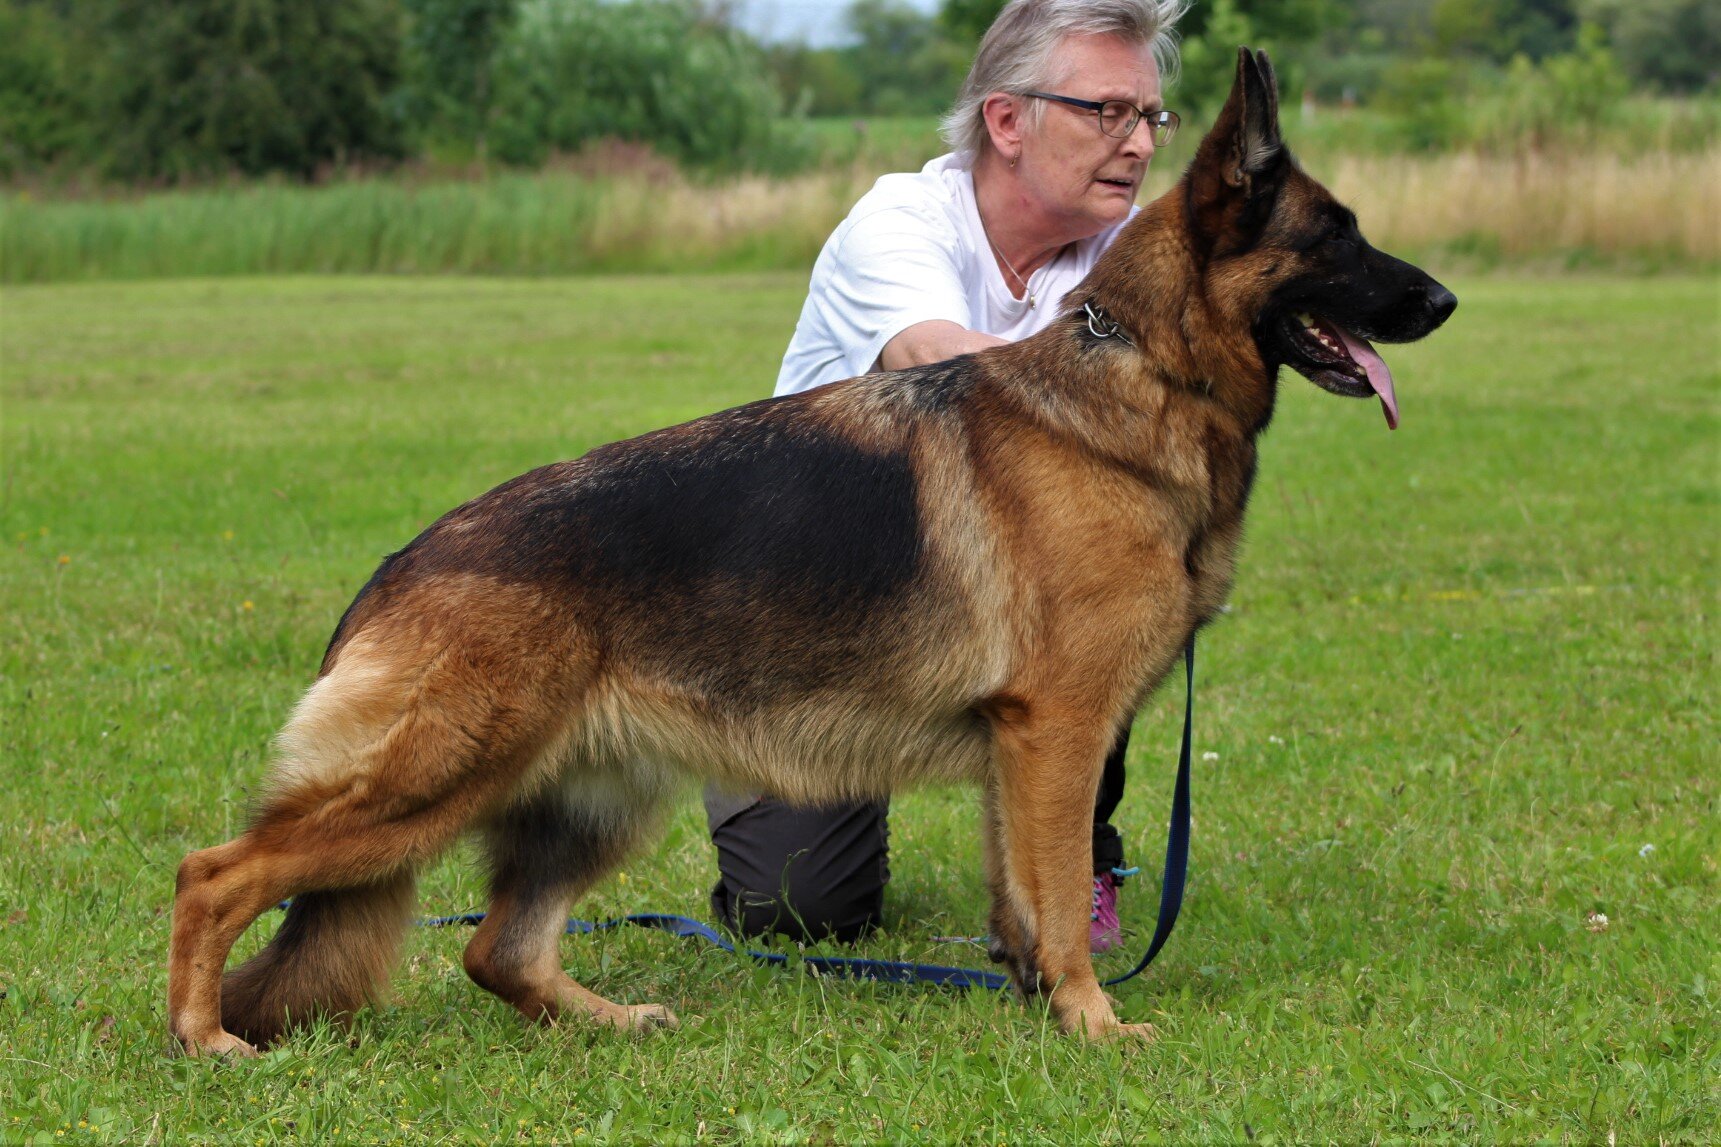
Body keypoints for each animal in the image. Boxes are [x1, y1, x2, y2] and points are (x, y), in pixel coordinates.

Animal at [164, 53, 1452, 1054]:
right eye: (1336, 238)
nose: (1444, 300)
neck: (1146, 371)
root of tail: (395, 570)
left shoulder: (1020, 746)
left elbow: (1023, 894)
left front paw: (1034, 1001)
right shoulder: (1059, 730)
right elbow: (1047, 885)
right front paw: (1091, 1021)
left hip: (594, 800)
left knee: (497, 949)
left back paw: (608, 1021)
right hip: (436, 780)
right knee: (212, 873)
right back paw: (203, 1037)